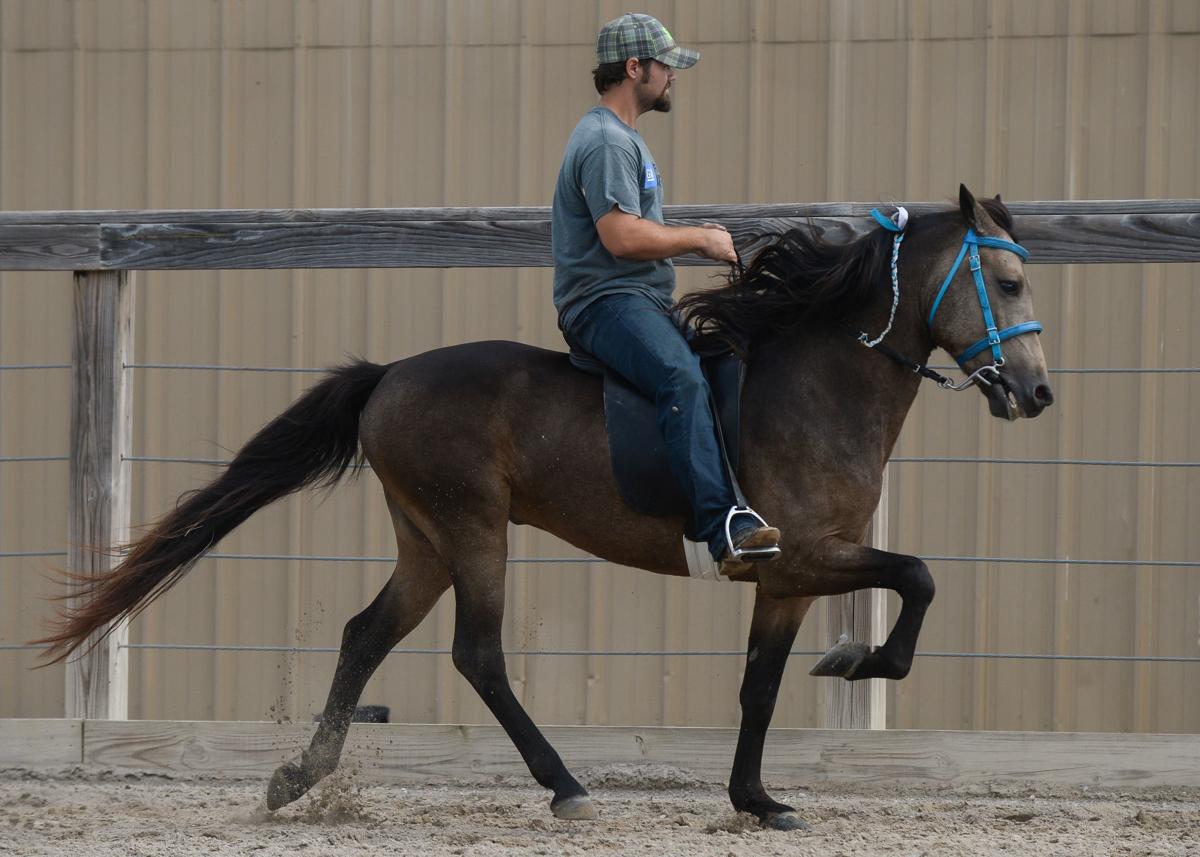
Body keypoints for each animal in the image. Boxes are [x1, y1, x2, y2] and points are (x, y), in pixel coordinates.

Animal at [38, 184, 1053, 831]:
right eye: (1006, 283)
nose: (1037, 394)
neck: (816, 382)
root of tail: (388, 376)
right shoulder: (803, 554)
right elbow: (918, 577)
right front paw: (861, 662)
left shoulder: (786, 581)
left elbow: (761, 686)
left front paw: (759, 798)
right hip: (473, 530)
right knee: (477, 654)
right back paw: (564, 784)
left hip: (427, 540)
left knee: (368, 634)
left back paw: (299, 776)